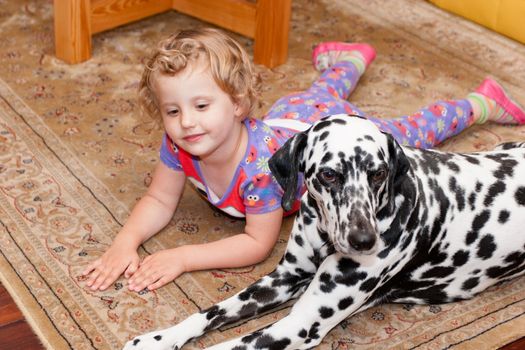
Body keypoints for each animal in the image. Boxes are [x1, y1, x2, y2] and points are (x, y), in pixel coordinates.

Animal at [124, 115, 524, 350]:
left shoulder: (300, 323)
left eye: (378, 173)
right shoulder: (281, 279)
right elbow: (210, 313)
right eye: (329, 174)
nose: (364, 241)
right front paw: (159, 338)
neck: (323, 235)